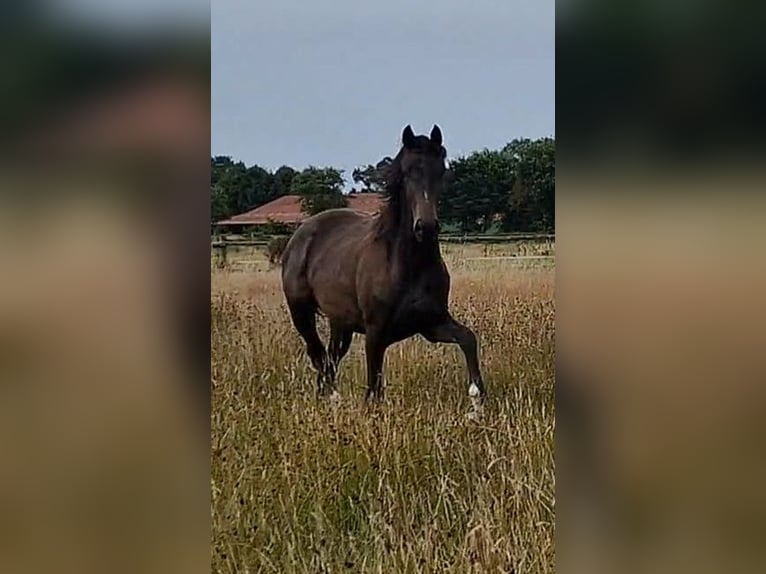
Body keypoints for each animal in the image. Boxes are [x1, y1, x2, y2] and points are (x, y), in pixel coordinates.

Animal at [280, 125, 486, 412]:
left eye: (440, 171)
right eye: (408, 172)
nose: (426, 227)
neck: (406, 266)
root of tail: (300, 234)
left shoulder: (432, 324)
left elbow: (468, 338)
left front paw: (476, 399)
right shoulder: (376, 332)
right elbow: (374, 388)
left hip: (340, 323)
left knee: (330, 359)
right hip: (301, 313)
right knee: (319, 355)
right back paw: (331, 398)